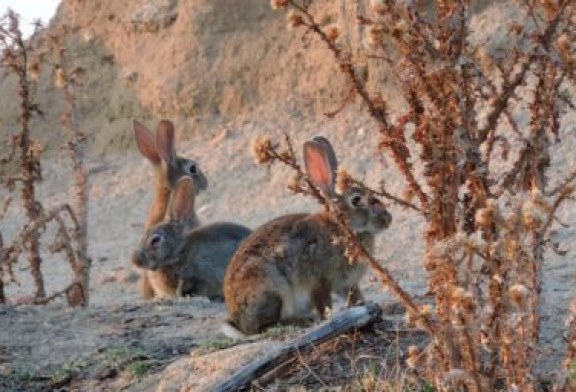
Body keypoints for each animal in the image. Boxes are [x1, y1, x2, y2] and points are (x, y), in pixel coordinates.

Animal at [220, 136, 392, 338]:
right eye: (356, 200)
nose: (387, 219)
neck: (341, 226)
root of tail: (238, 323)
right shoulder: (319, 281)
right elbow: (324, 304)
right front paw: (328, 319)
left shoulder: (348, 284)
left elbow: (355, 298)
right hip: (270, 288)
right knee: (267, 326)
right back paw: (303, 321)